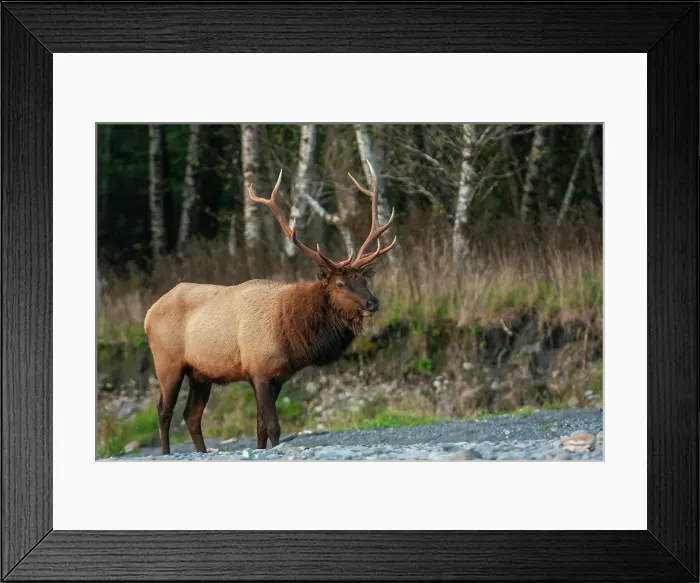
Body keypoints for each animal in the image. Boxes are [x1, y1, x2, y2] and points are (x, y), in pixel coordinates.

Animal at [144, 160, 397, 455]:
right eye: (341, 284)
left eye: (364, 280)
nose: (373, 302)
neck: (290, 335)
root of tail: (148, 314)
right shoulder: (259, 370)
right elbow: (273, 426)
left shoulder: (277, 376)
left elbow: (260, 426)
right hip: (168, 362)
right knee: (163, 412)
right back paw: (166, 452)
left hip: (201, 373)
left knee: (191, 415)